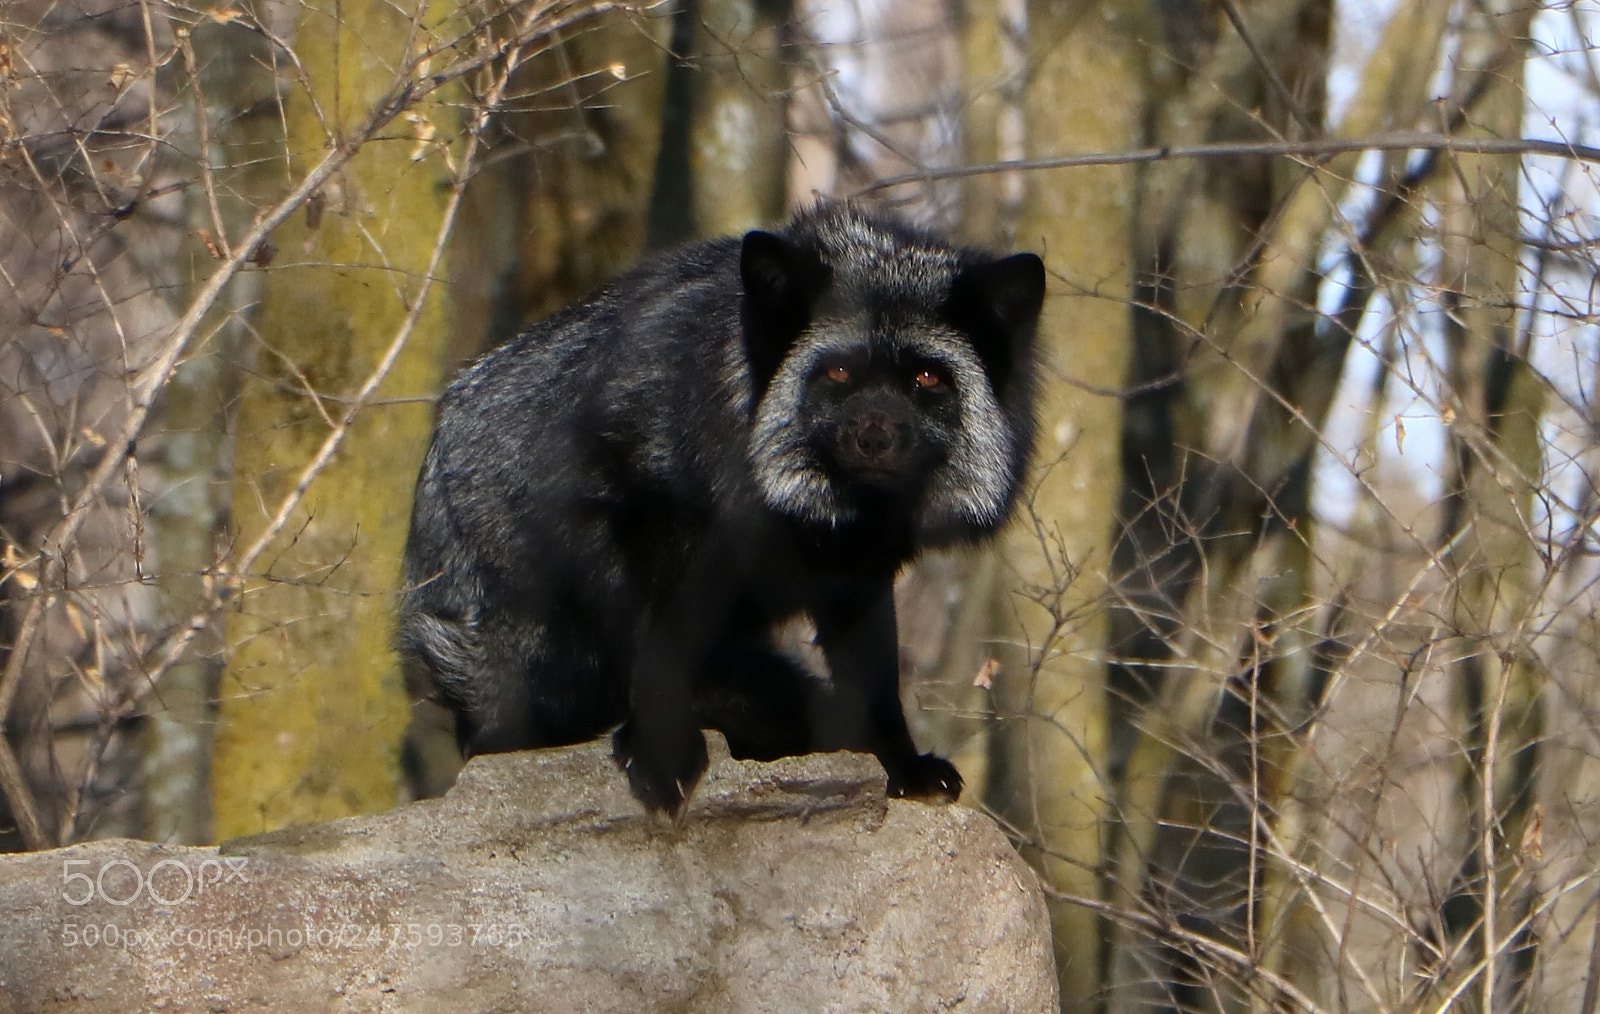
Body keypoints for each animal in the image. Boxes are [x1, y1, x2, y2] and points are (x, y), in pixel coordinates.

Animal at [398, 202, 1044, 816]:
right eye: (838, 371)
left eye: (927, 377)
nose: (875, 436)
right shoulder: (636, 515)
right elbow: (657, 639)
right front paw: (663, 750)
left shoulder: (855, 573)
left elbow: (876, 684)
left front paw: (901, 765)